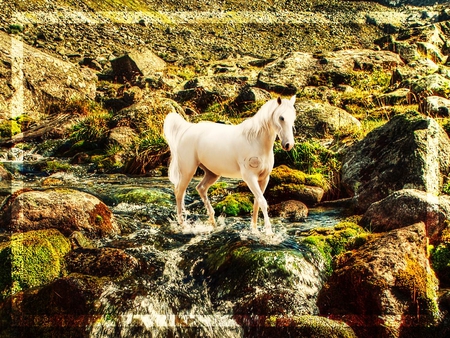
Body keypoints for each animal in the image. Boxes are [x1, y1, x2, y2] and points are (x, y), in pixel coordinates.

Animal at [163, 95, 298, 235]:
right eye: (281, 117)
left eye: (293, 118)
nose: (288, 145)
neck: (255, 141)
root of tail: (187, 129)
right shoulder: (250, 177)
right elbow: (262, 202)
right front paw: (269, 233)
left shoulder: (264, 178)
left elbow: (256, 202)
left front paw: (254, 230)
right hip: (188, 171)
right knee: (179, 192)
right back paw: (183, 225)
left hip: (212, 173)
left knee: (201, 188)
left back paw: (213, 223)